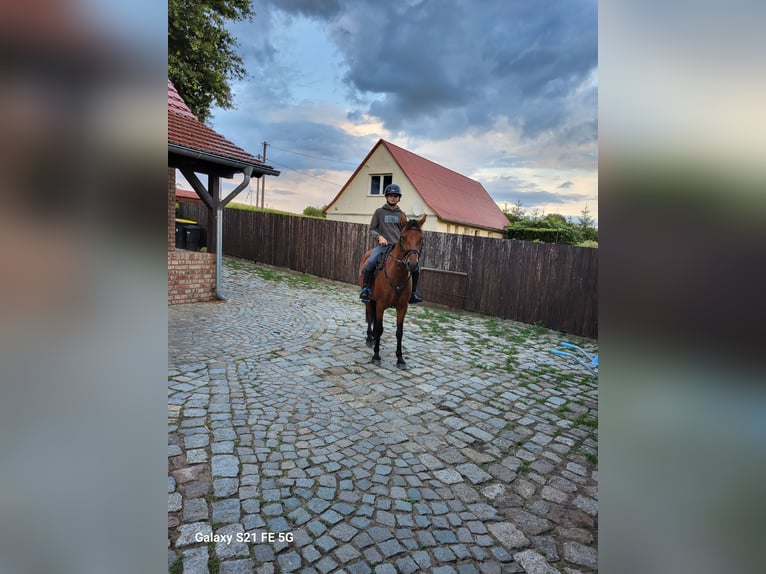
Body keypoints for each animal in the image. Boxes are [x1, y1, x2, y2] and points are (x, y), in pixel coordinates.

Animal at [358, 214, 426, 372]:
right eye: (403, 237)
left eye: (421, 239)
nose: (412, 265)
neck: (397, 275)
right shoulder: (381, 305)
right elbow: (379, 329)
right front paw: (376, 356)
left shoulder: (402, 308)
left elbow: (399, 332)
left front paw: (400, 359)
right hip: (370, 300)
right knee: (370, 316)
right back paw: (369, 339)